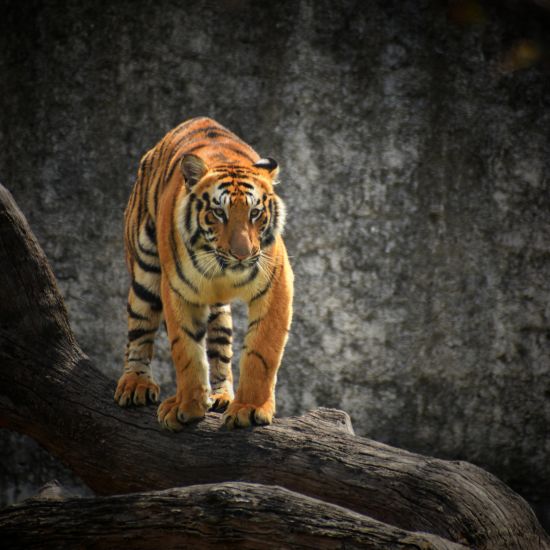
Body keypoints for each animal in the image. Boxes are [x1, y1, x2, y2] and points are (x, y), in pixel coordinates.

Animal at [113, 118, 296, 434]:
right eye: (219, 213)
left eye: (255, 213)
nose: (242, 254)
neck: (222, 268)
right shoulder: (178, 289)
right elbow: (186, 352)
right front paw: (186, 406)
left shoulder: (276, 284)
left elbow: (262, 352)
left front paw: (249, 409)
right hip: (145, 272)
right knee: (139, 330)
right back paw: (136, 383)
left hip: (219, 312)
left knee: (220, 348)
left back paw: (222, 396)